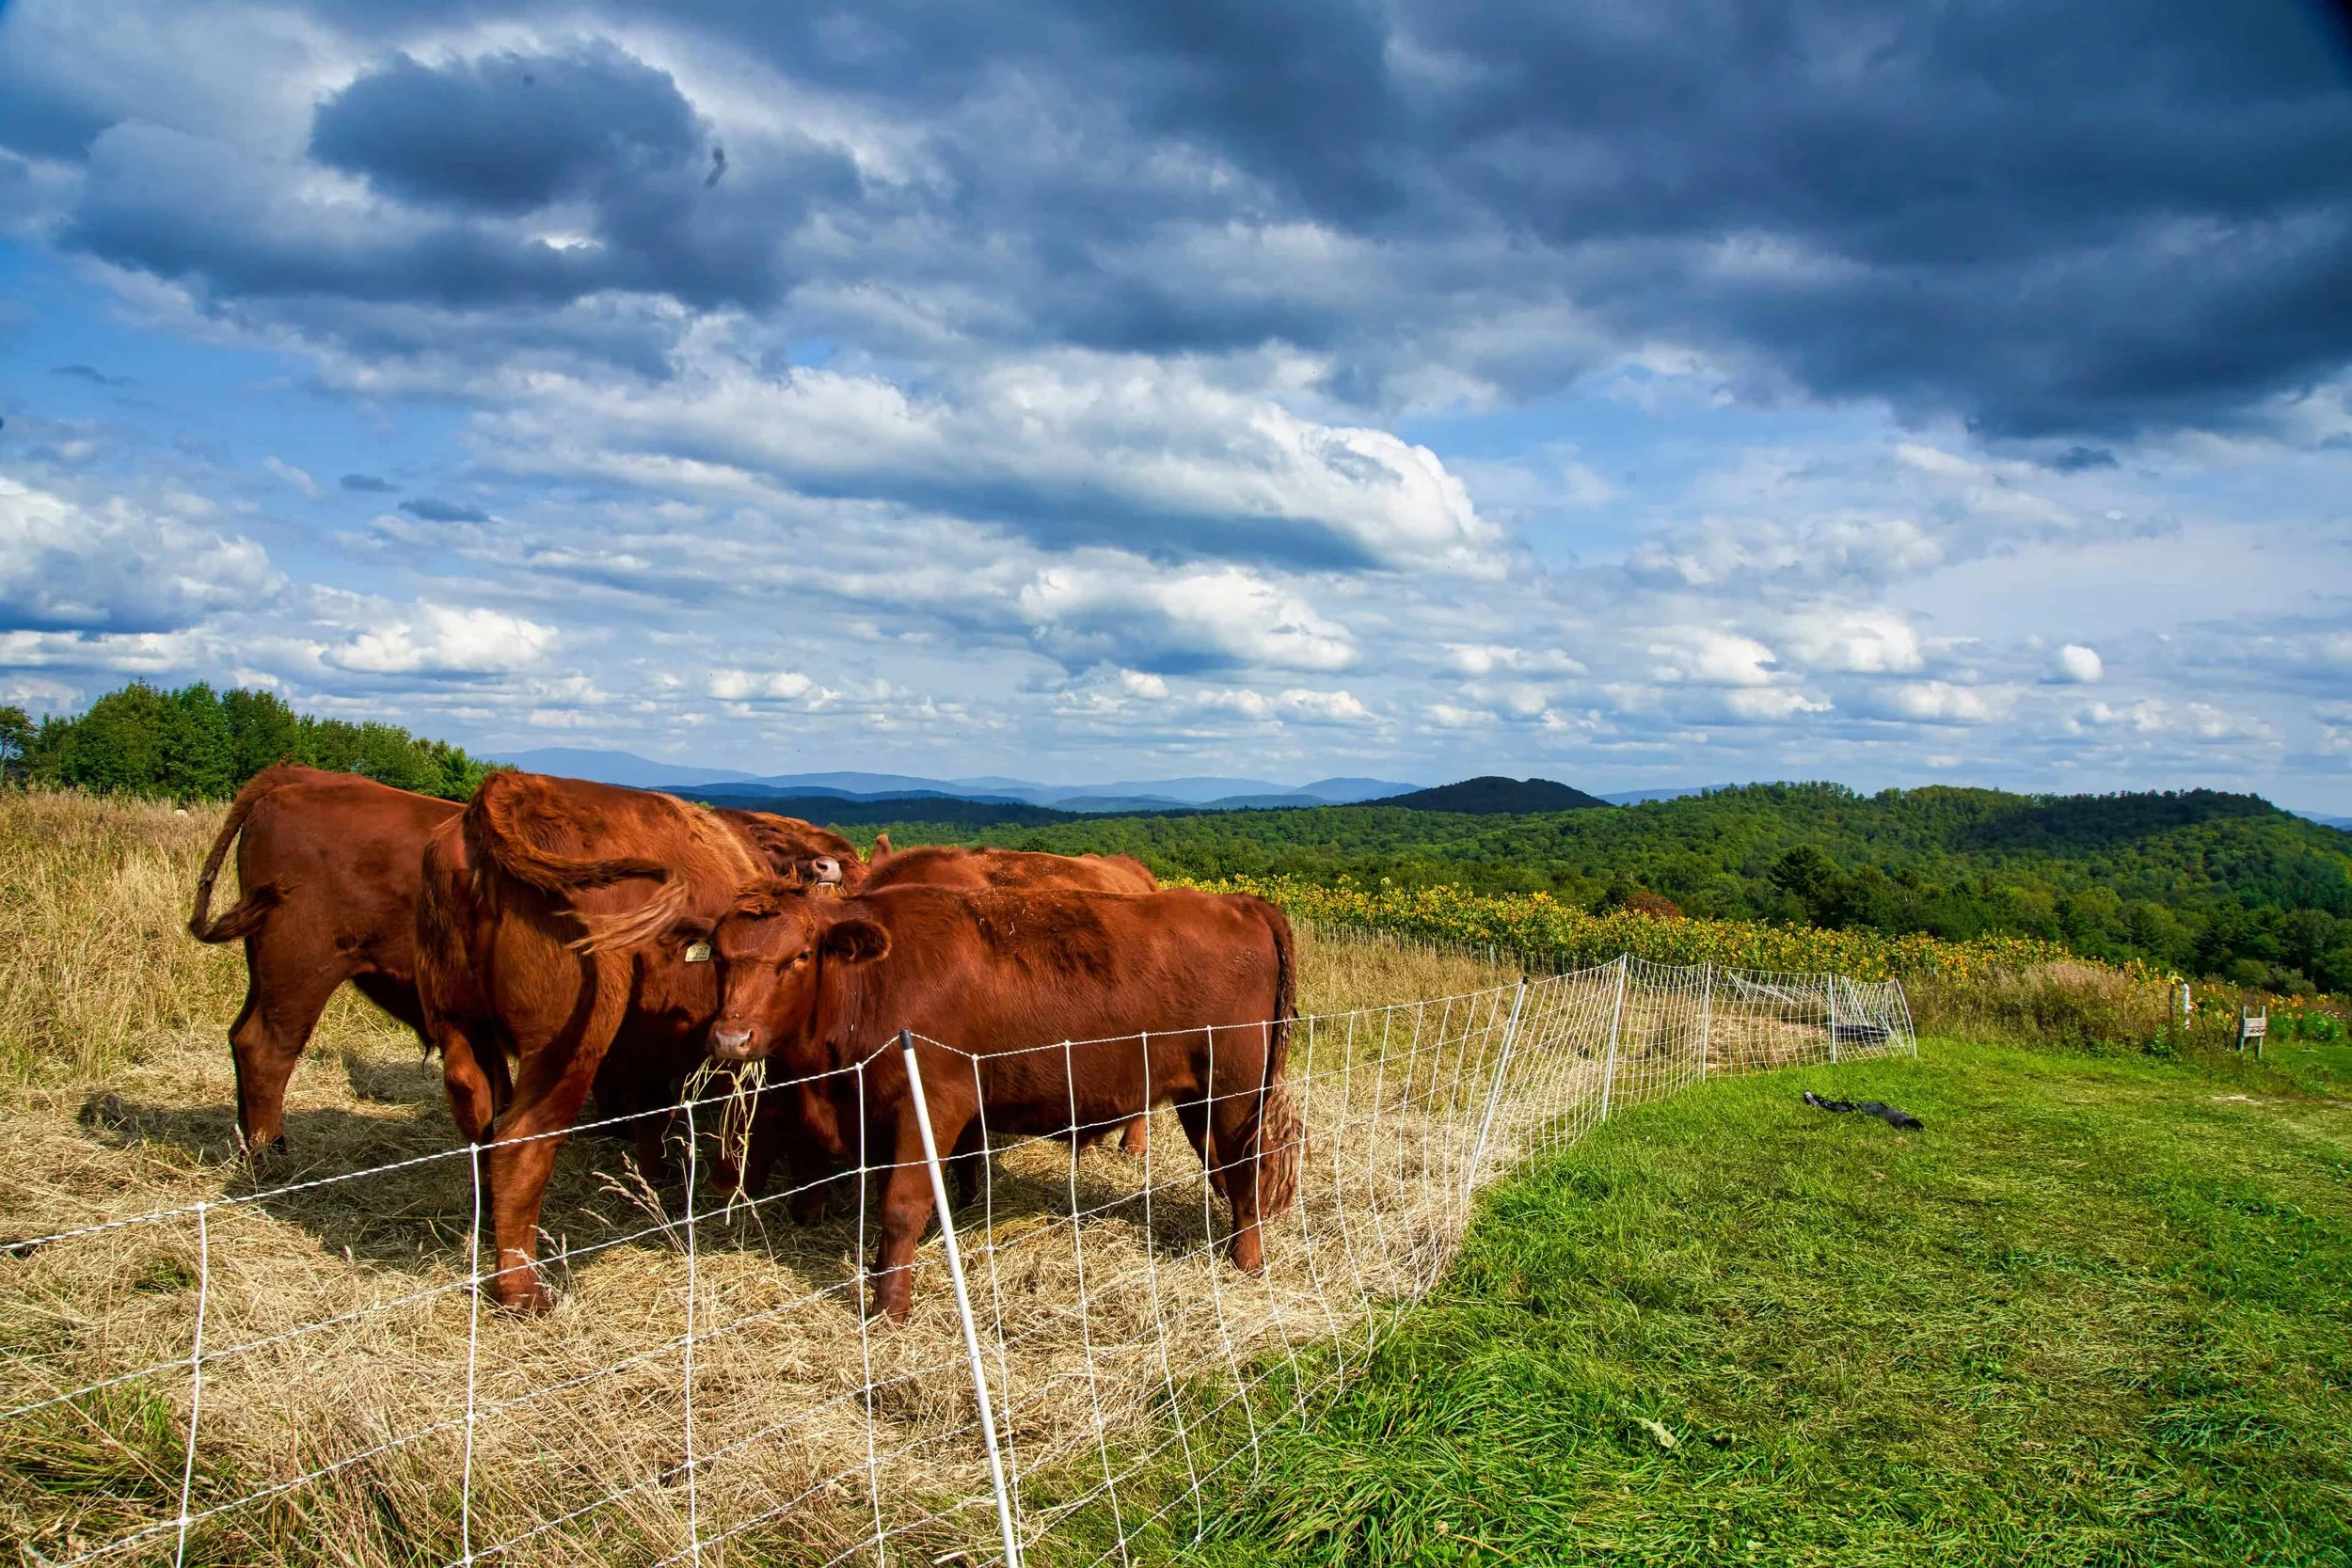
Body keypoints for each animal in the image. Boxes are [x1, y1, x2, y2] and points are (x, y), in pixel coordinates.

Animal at [702, 883, 1301, 1321]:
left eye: (800, 956)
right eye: (719, 959)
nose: (731, 1038)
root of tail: (1241, 903)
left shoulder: (930, 1105)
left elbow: (901, 1207)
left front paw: (890, 1307)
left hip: (1236, 1090)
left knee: (1248, 1169)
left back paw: (1247, 1261)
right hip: (1199, 1096)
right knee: (1223, 1168)